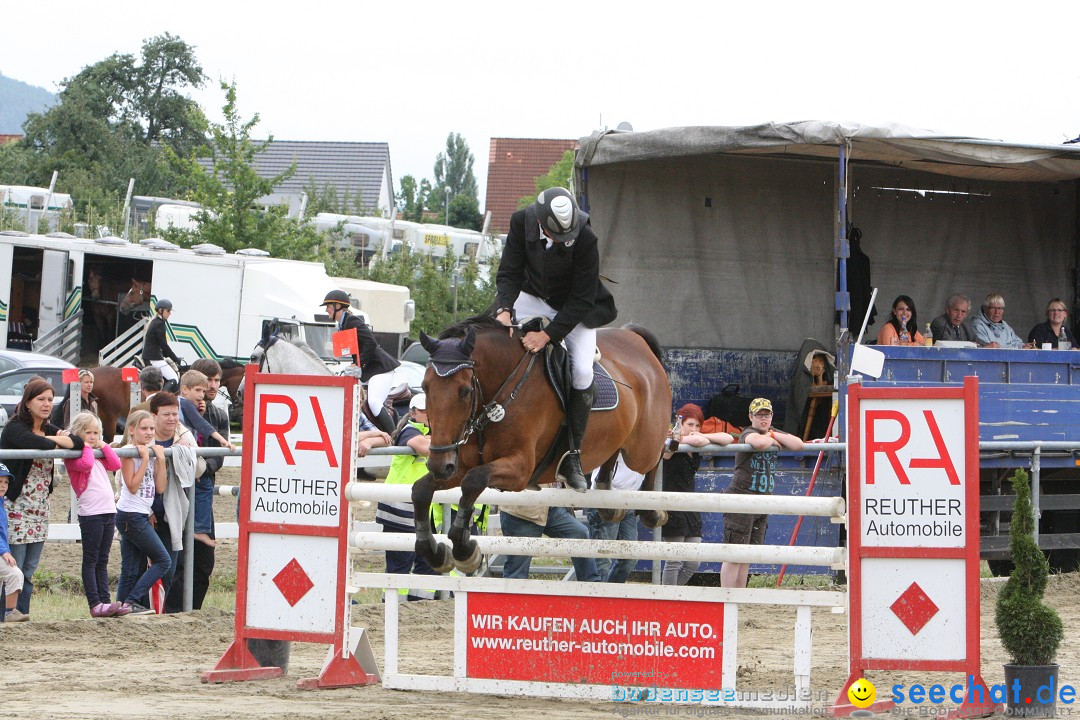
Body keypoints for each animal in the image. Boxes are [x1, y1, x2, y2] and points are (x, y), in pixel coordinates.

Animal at [410, 313, 669, 578]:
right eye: (426, 387)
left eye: (464, 391)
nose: (438, 465)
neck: (502, 388)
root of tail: (634, 339)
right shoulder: (460, 466)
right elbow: (421, 490)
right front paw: (435, 553)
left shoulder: (521, 470)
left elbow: (473, 481)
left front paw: (465, 552)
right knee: (613, 452)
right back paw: (606, 493)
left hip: (642, 448)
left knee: (656, 455)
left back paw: (652, 512)